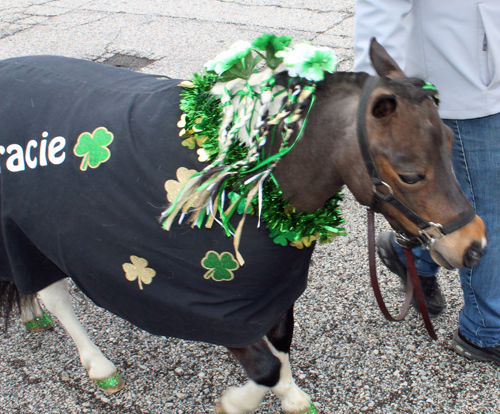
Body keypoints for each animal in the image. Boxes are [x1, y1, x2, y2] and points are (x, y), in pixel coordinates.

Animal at [0, 39, 486, 414]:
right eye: (410, 174)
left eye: (450, 140)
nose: (474, 245)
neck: (253, 180)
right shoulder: (213, 306)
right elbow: (265, 368)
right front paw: (235, 402)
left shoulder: (272, 292)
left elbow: (281, 346)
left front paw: (292, 397)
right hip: (27, 233)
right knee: (54, 292)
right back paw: (98, 365)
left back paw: (31, 315)